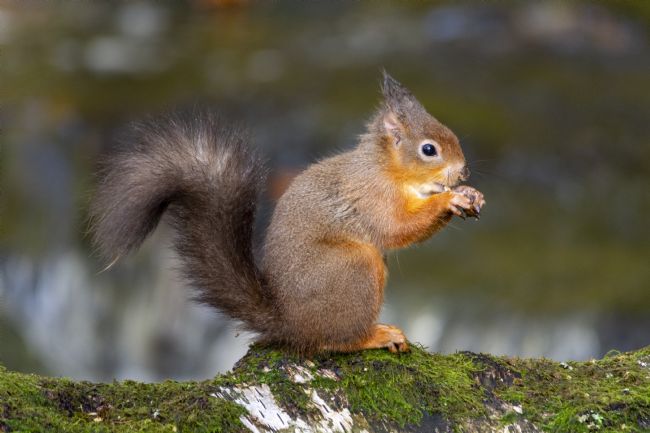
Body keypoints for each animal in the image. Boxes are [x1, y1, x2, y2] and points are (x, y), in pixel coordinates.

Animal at [90, 71, 485, 355]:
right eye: (429, 149)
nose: (463, 170)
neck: (387, 168)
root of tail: (290, 324)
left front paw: (470, 194)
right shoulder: (372, 196)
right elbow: (397, 228)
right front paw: (448, 200)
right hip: (352, 269)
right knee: (330, 342)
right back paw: (376, 335)